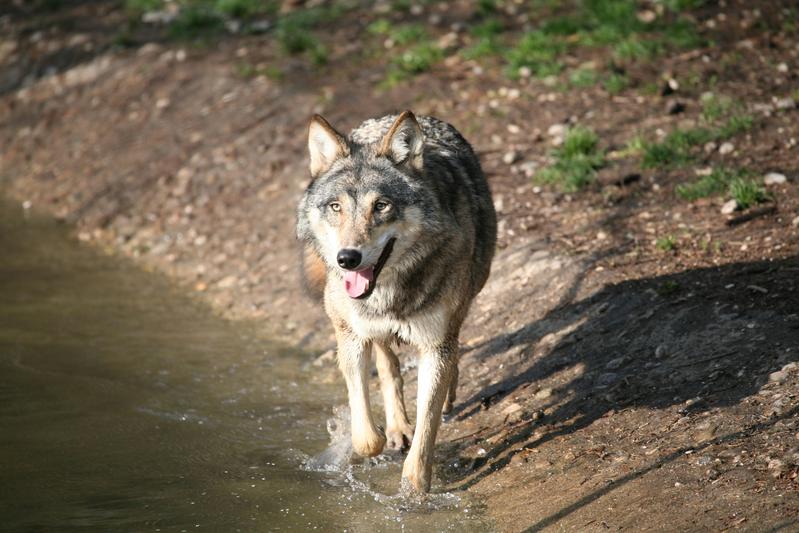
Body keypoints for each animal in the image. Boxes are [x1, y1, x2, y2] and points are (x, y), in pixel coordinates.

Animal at [296, 110, 494, 492]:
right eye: (336, 207)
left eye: (381, 206)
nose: (348, 259)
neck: (388, 291)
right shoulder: (350, 335)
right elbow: (365, 435)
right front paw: (372, 440)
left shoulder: (435, 345)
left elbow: (427, 428)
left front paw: (414, 490)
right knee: (388, 365)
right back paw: (397, 427)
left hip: (463, 305)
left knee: (452, 355)